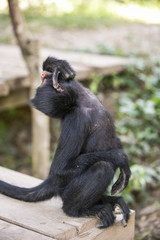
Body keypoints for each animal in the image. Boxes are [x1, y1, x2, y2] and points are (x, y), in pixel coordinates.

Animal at [0, 56, 131, 229]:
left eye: (43, 81)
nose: (43, 76)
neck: (83, 101)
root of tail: (55, 184)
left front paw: (57, 65)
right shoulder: (77, 119)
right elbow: (60, 169)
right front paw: (120, 157)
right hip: (67, 192)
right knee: (102, 167)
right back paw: (76, 209)